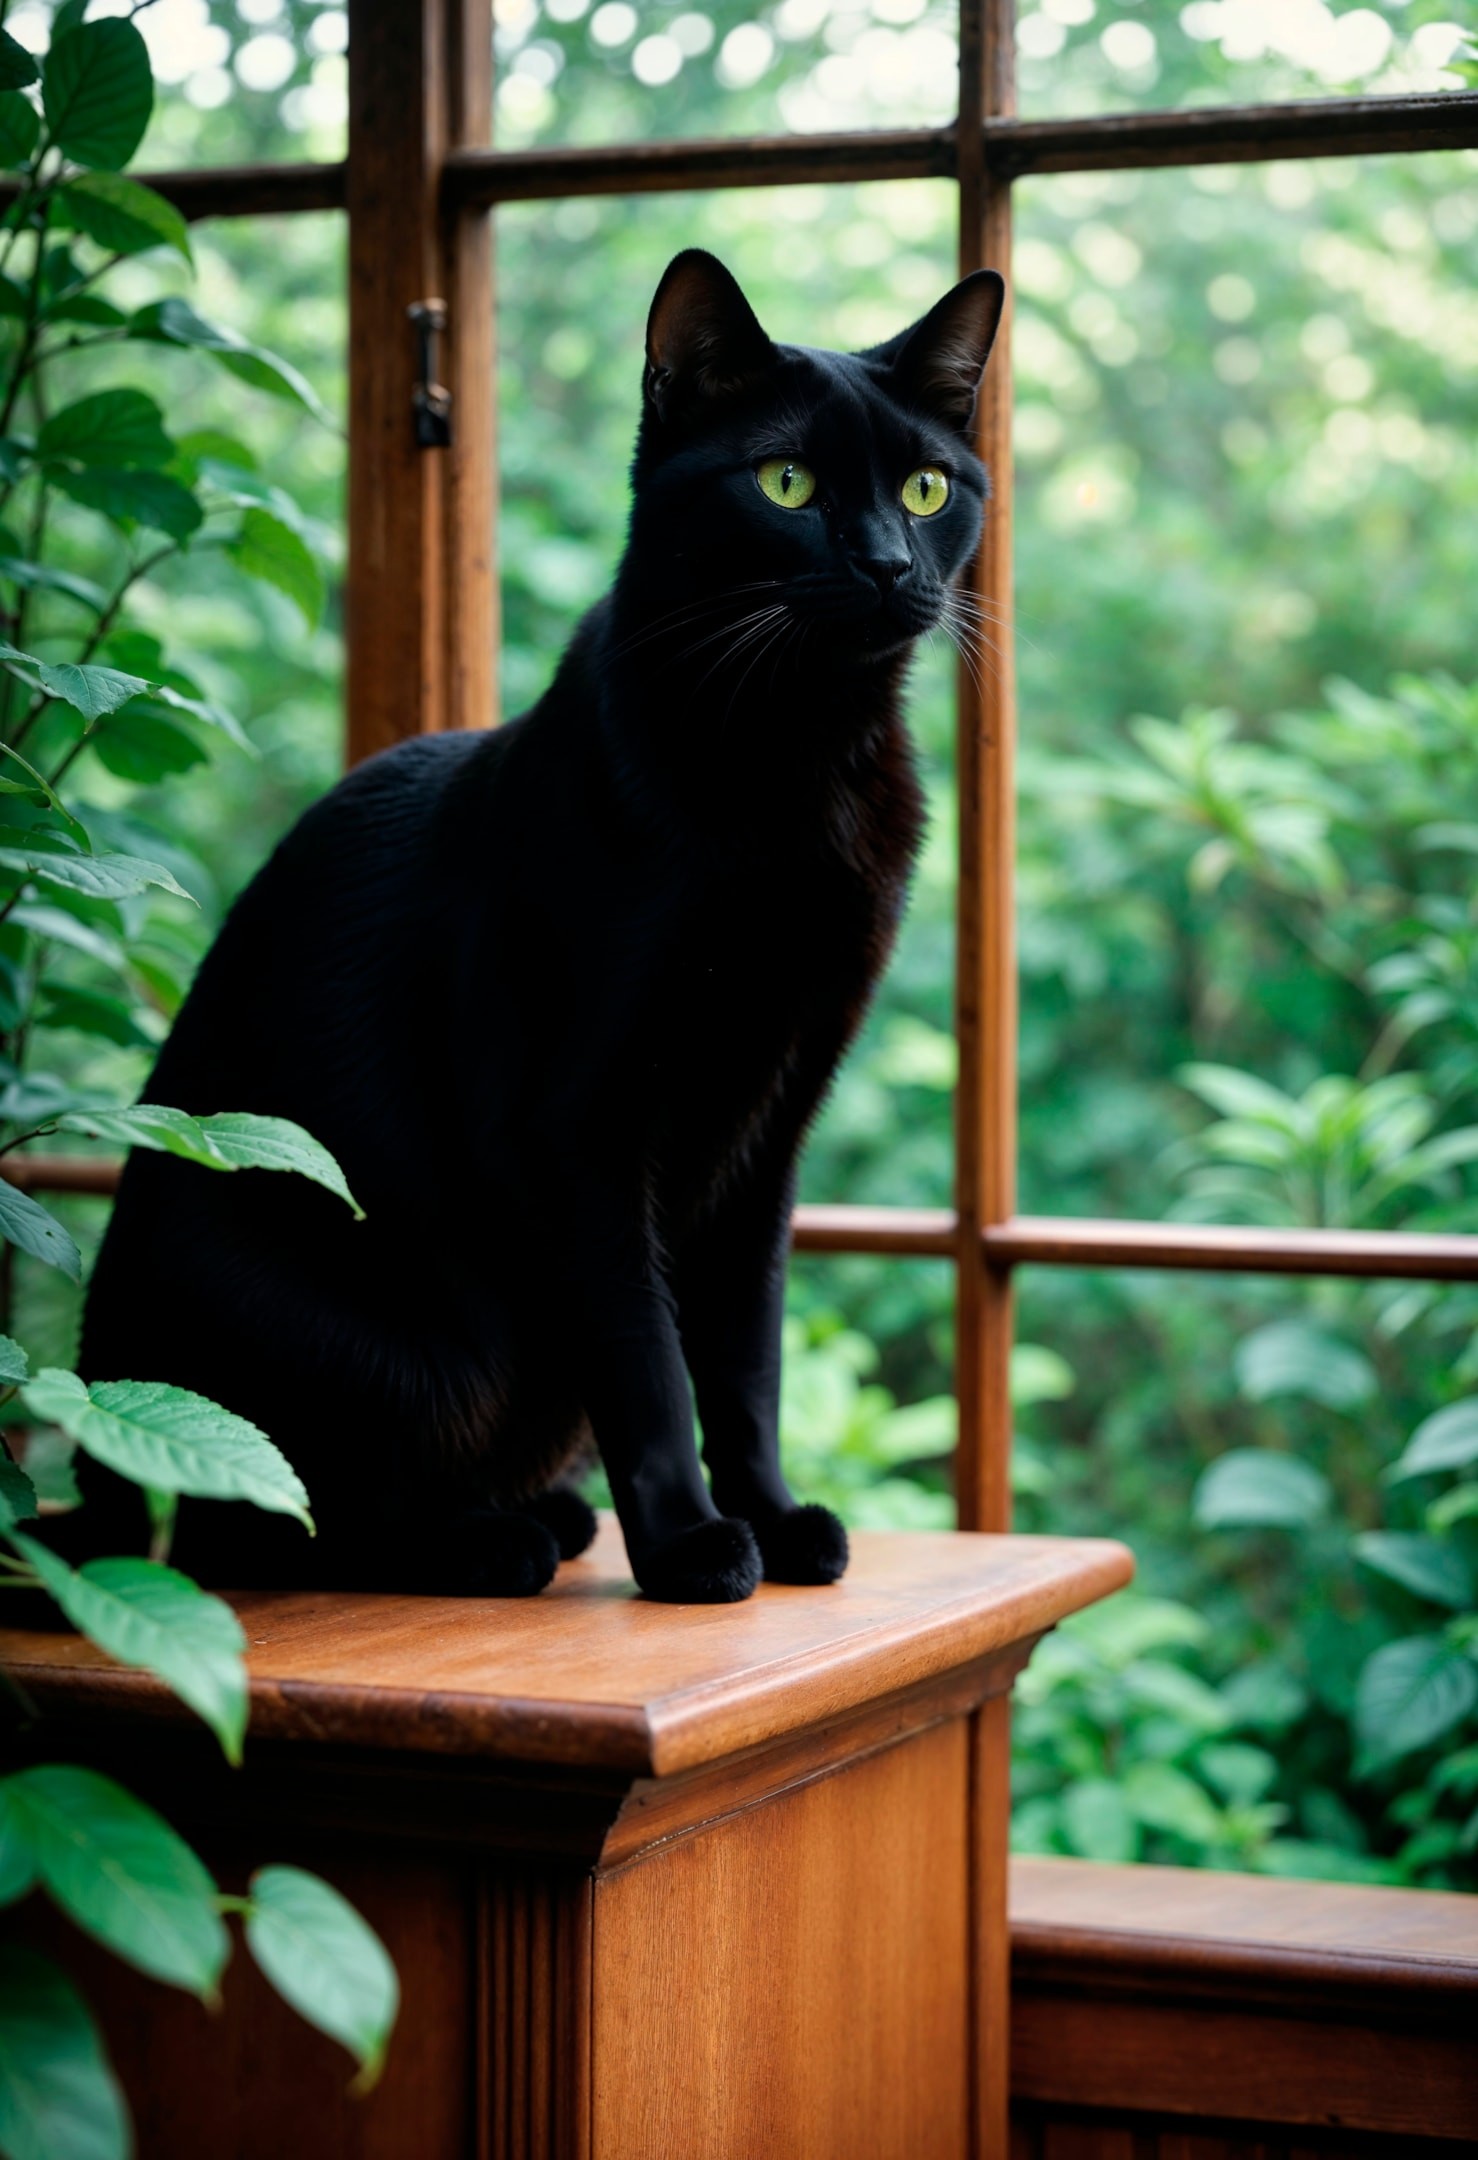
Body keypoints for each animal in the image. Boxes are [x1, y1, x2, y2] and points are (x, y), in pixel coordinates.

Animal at [75, 252, 1011, 1607]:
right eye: (784, 483)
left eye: (927, 488)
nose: (890, 563)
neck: (795, 765)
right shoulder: (577, 1123)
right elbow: (646, 1356)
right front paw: (687, 1547)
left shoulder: (770, 1126)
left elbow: (743, 1360)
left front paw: (773, 1518)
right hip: (383, 1350)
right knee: (262, 1518)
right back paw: (488, 1539)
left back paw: (546, 1513)